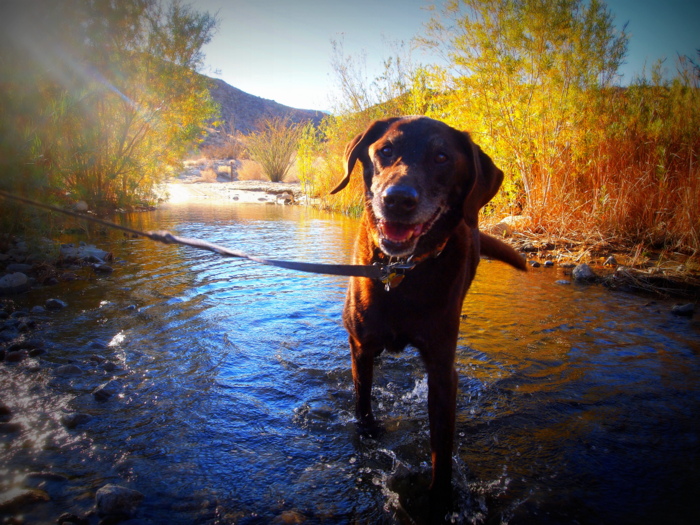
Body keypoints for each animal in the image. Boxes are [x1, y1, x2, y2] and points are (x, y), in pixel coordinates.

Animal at [332, 117, 524, 516]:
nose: (397, 199)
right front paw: (367, 433)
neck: (401, 272)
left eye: (441, 157)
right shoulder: (360, 346)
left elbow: (441, 446)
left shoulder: (441, 369)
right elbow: (362, 400)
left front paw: (440, 499)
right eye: (385, 150)